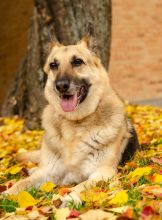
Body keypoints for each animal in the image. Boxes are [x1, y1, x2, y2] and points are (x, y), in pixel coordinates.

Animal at [5, 34, 139, 205]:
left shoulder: (103, 172)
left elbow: (83, 185)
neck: (74, 124)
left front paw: (69, 196)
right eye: (53, 65)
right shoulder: (48, 172)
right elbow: (22, 183)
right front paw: (7, 193)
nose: (61, 86)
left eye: (77, 62)